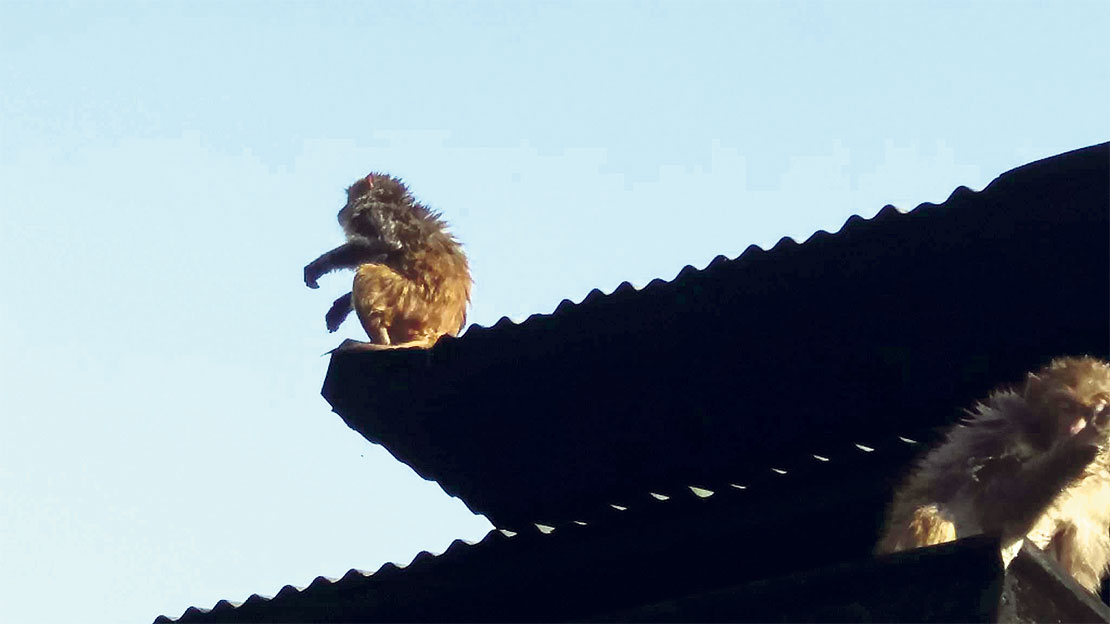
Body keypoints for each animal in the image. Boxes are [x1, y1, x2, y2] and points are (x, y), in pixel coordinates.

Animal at [304, 173, 471, 350]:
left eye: (350, 198)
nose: (341, 210)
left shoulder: (376, 212)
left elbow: (389, 245)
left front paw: (320, 265)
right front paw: (341, 305)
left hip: (407, 305)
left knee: (367, 271)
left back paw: (379, 342)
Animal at [877, 356, 1110, 592]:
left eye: (1087, 412)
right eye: (1066, 407)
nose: (1074, 429)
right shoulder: (1002, 429)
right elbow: (986, 508)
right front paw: (1079, 446)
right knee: (934, 517)